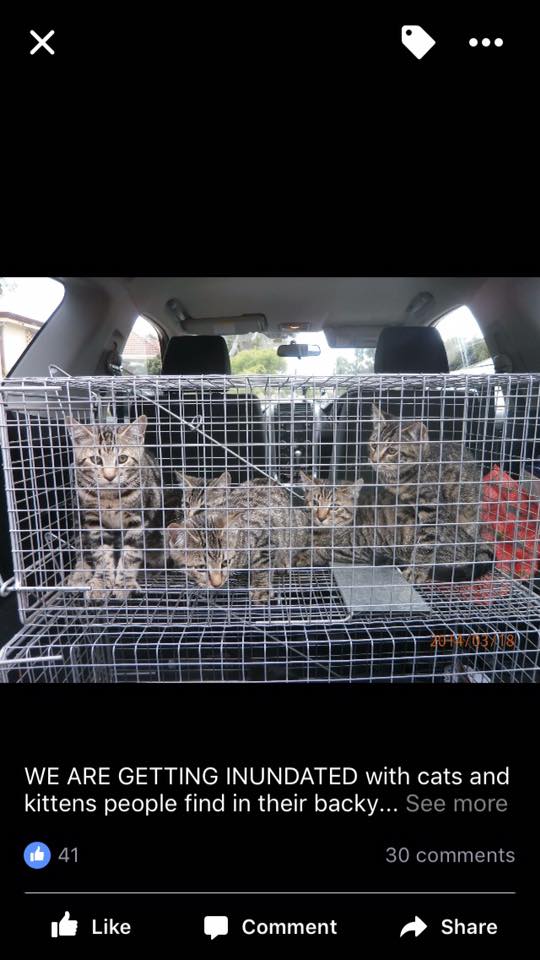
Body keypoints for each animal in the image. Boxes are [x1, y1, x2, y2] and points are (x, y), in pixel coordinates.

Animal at [65, 414, 164, 600]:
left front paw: (124, 583)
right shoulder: (93, 520)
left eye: (123, 459)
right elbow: (101, 552)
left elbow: (131, 553)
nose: (109, 476)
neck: (110, 497)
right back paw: (80, 573)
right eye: (96, 460)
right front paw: (101, 582)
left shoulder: (140, 518)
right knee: (82, 546)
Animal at [167, 477, 309, 603]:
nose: (217, 584)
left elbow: (262, 564)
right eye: (201, 567)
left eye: (224, 562)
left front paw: (260, 588)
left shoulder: (266, 535)